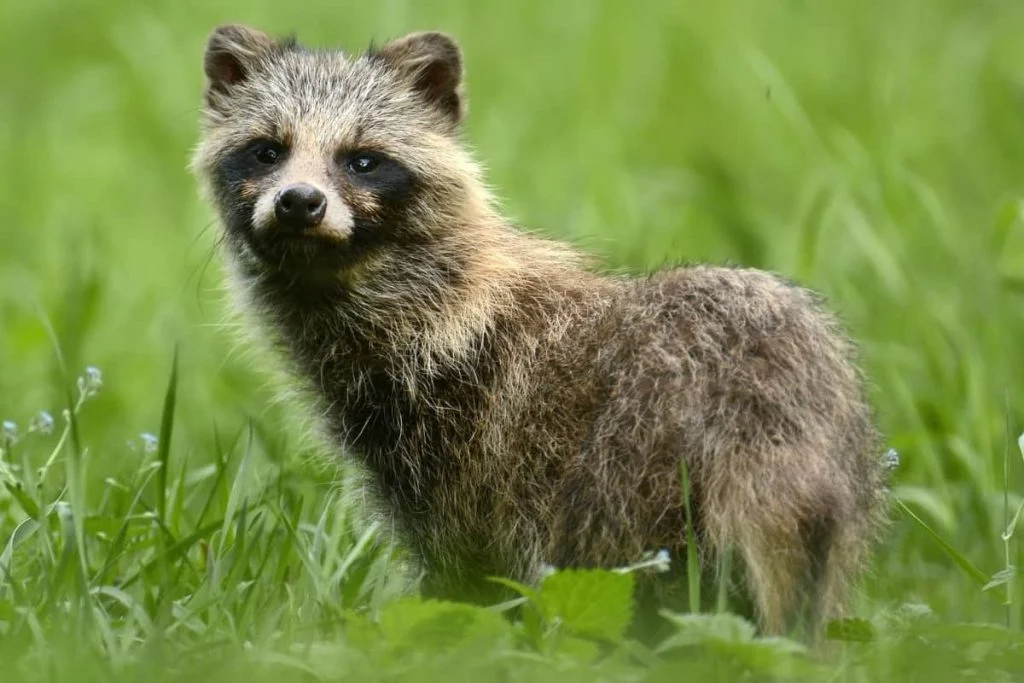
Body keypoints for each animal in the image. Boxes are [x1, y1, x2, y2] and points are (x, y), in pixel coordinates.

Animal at [191, 24, 888, 639]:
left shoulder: (463, 439)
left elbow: (466, 573)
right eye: (267, 149)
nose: (300, 202)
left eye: (363, 160)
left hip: (633, 464)